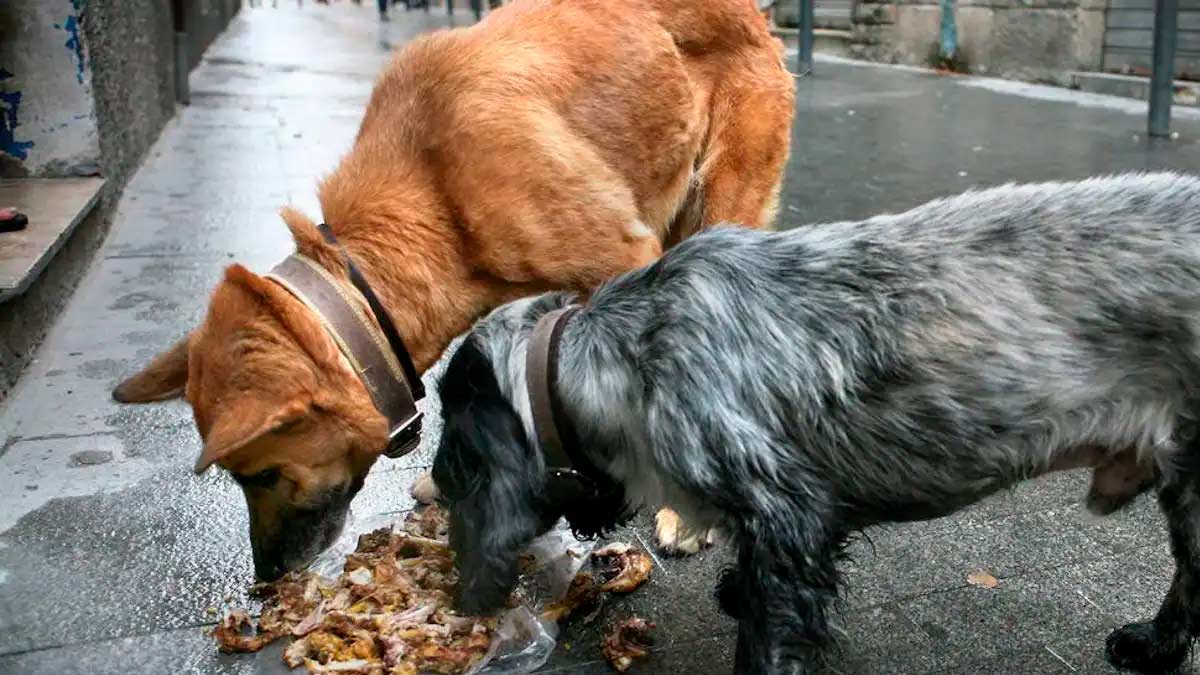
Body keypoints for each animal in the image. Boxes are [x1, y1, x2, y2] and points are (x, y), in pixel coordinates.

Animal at [114, 0, 796, 576]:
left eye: (259, 475)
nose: (265, 577)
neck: (433, 192)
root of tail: (750, 15)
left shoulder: (623, 259)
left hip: (714, 207)